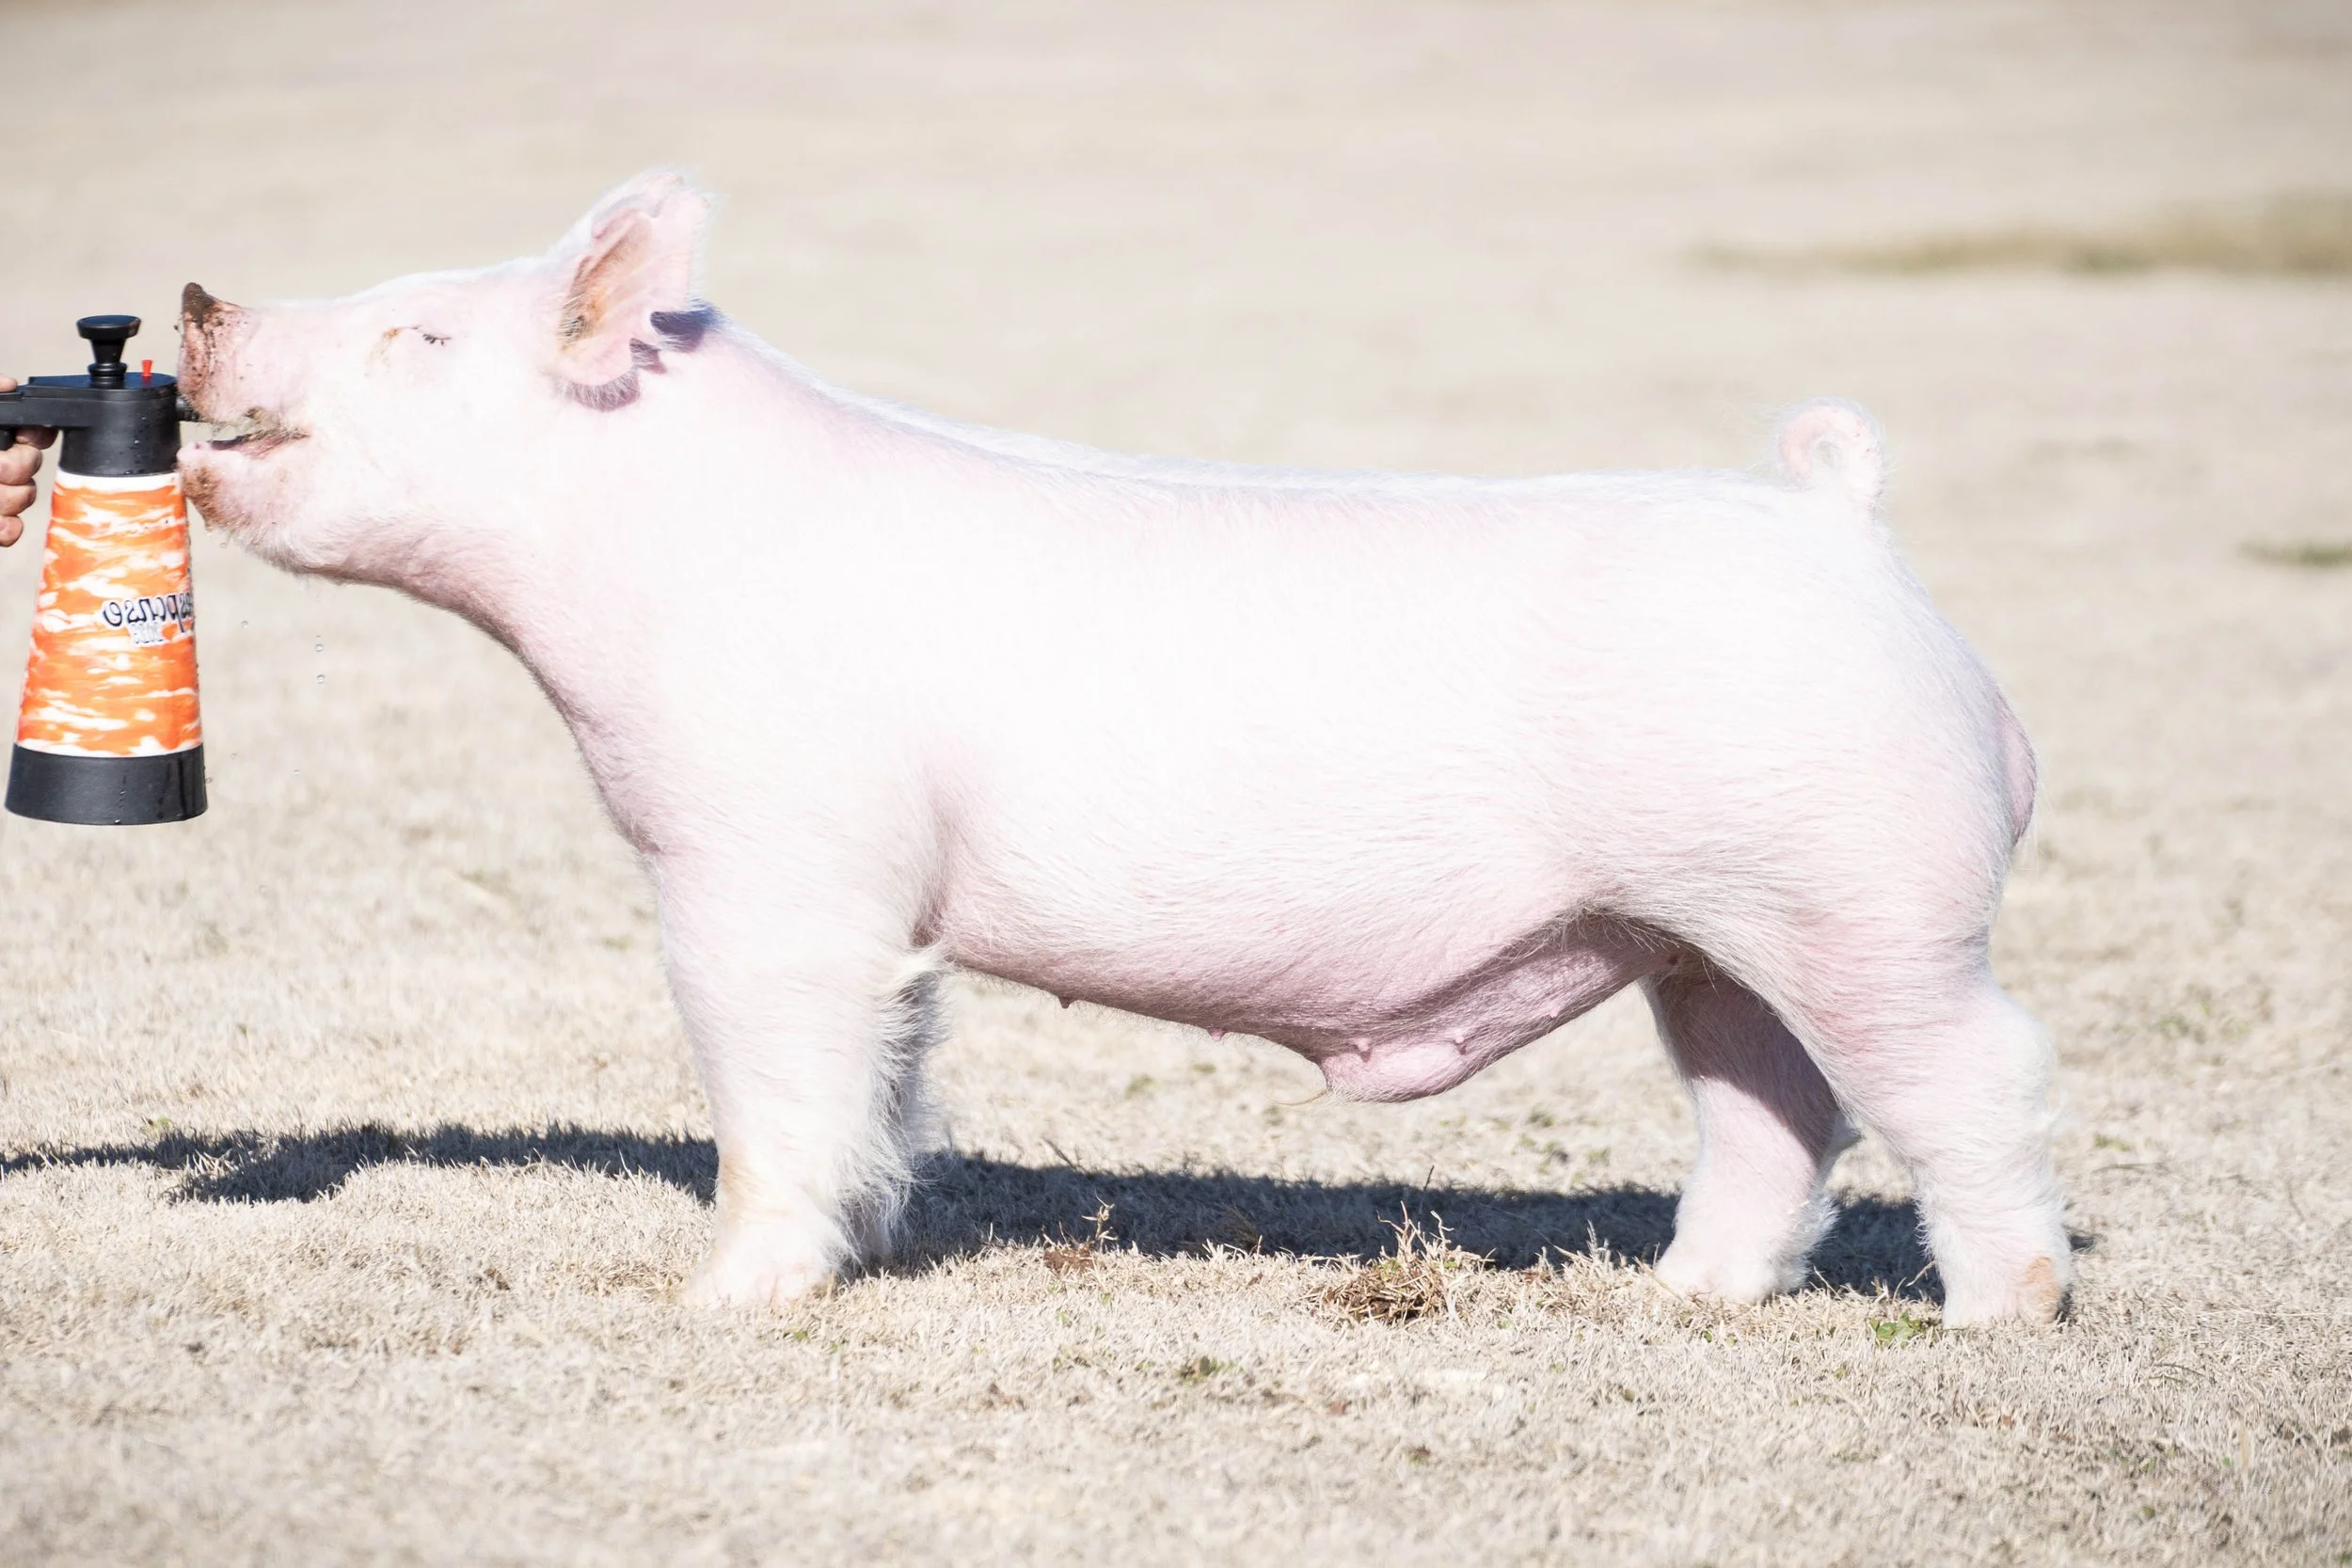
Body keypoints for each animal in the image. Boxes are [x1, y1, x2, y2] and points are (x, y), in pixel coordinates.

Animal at [175, 170, 2068, 1323]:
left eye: (420, 331)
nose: (193, 295)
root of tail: (1839, 521)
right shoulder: (892, 909)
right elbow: (890, 1073)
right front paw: (876, 1240)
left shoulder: (767, 867)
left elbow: (773, 1076)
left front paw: (724, 1297)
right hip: (1702, 931)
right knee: (1777, 1111)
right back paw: (1677, 1297)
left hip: (1869, 900)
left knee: (1973, 1077)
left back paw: (1994, 1314)